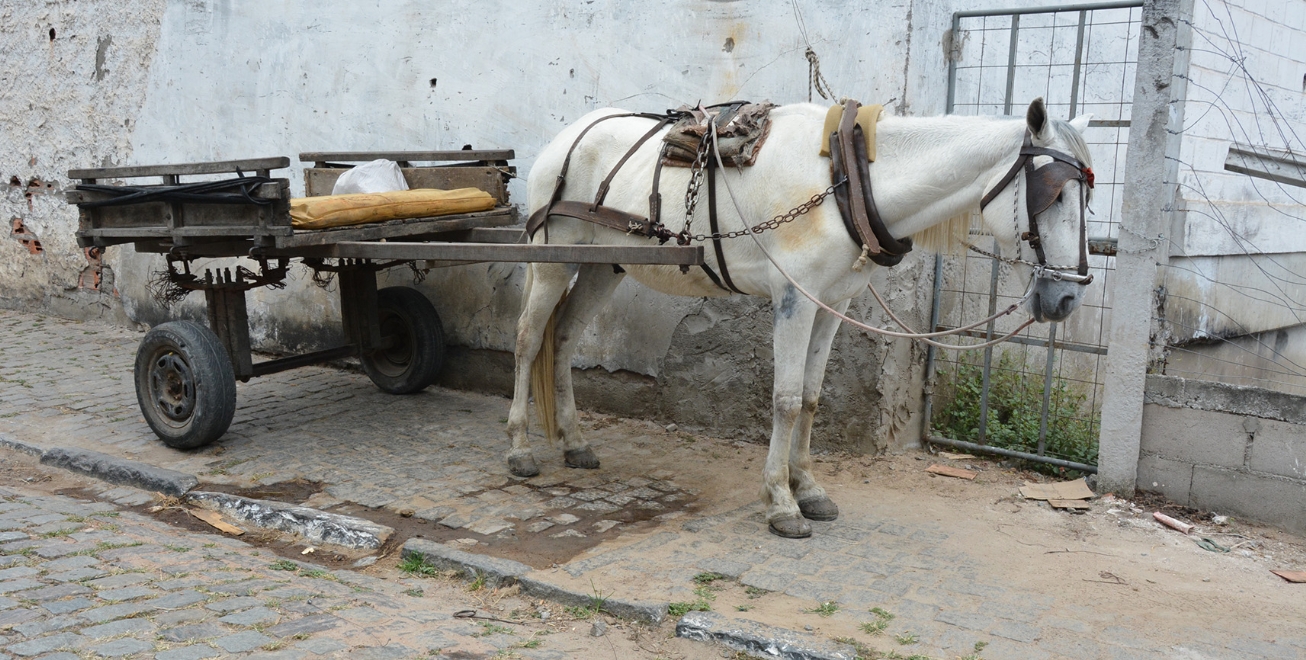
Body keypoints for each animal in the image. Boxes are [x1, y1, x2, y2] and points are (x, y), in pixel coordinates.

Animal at [506, 99, 1091, 541]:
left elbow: (811, 398)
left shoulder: (835, 303)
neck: (846, 180)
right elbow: (785, 400)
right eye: (1056, 194)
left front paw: (809, 490)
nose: (1066, 298)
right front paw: (781, 503)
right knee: (530, 340)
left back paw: (575, 443)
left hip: (605, 265)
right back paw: (519, 449)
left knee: (564, 337)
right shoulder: (795, 297)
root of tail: (568, 136)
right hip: (553, 259)